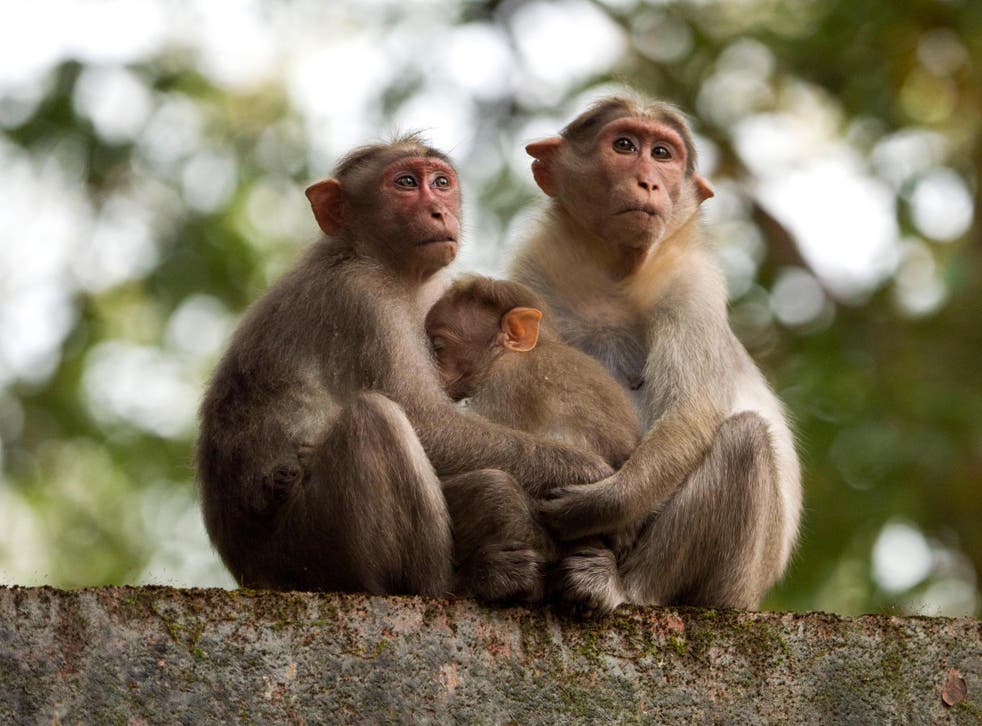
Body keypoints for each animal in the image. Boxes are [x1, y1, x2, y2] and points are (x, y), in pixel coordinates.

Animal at [196, 135, 613, 602]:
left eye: (441, 183)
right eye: (407, 183)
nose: (438, 211)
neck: (377, 261)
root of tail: (250, 571)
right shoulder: (362, 299)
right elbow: (425, 421)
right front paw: (587, 474)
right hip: (305, 551)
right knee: (375, 419)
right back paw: (447, 584)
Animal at [509, 95, 802, 610]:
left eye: (662, 154)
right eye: (625, 146)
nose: (648, 181)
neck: (614, 268)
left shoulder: (692, 283)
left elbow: (692, 411)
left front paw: (600, 506)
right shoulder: (532, 271)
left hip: (735, 582)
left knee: (745, 440)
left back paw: (622, 586)